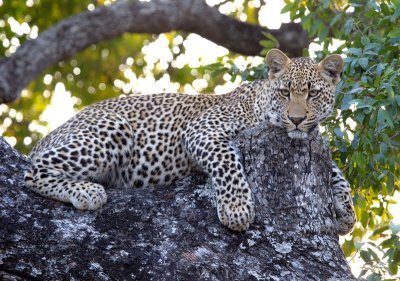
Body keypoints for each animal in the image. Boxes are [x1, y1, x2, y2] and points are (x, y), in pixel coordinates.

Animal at [24, 48, 356, 234]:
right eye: (285, 92)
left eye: (313, 93)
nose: (297, 119)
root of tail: (48, 135)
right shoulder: (202, 130)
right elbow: (227, 163)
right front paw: (237, 210)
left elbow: (339, 175)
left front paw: (346, 214)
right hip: (114, 128)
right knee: (33, 171)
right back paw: (87, 191)